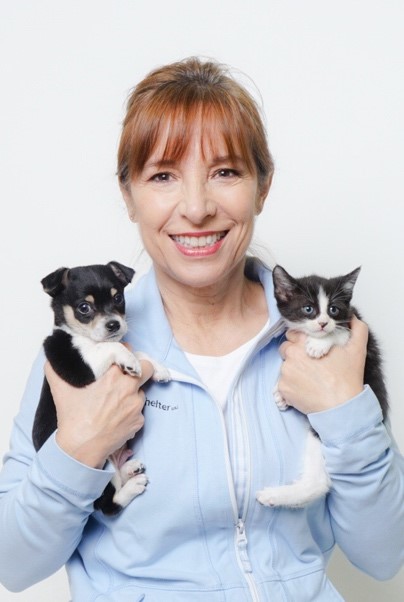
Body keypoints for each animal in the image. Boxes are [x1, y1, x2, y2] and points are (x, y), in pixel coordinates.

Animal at [32, 260, 170, 512]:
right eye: (84, 307)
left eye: (118, 298)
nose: (114, 324)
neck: (85, 338)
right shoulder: (81, 370)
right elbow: (111, 347)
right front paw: (130, 361)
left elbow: (137, 351)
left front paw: (158, 368)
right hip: (100, 463)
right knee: (107, 504)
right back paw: (133, 486)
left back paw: (130, 469)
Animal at [258, 264, 388, 504]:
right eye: (308, 309)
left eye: (333, 310)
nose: (323, 323)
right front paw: (280, 392)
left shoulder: (356, 329)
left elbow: (341, 334)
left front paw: (318, 345)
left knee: (319, 483)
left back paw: (275, 495)